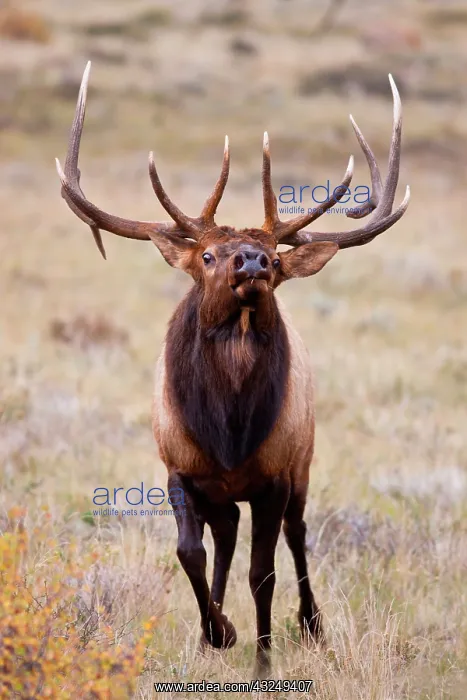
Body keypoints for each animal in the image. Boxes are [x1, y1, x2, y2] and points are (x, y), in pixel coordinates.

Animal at [56, 62, 409, 678]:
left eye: (276, 259)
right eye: (207, 256)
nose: (254, 261)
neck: (228, 430)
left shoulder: (274, 476)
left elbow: (262, 574)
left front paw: (262, 657)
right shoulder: (179, 467)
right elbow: (189, 552)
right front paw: (218, 632)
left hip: (303, 459)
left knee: (296, 533)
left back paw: (310, 625)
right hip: (221, 492)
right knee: (222, 539)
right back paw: (210, 634)